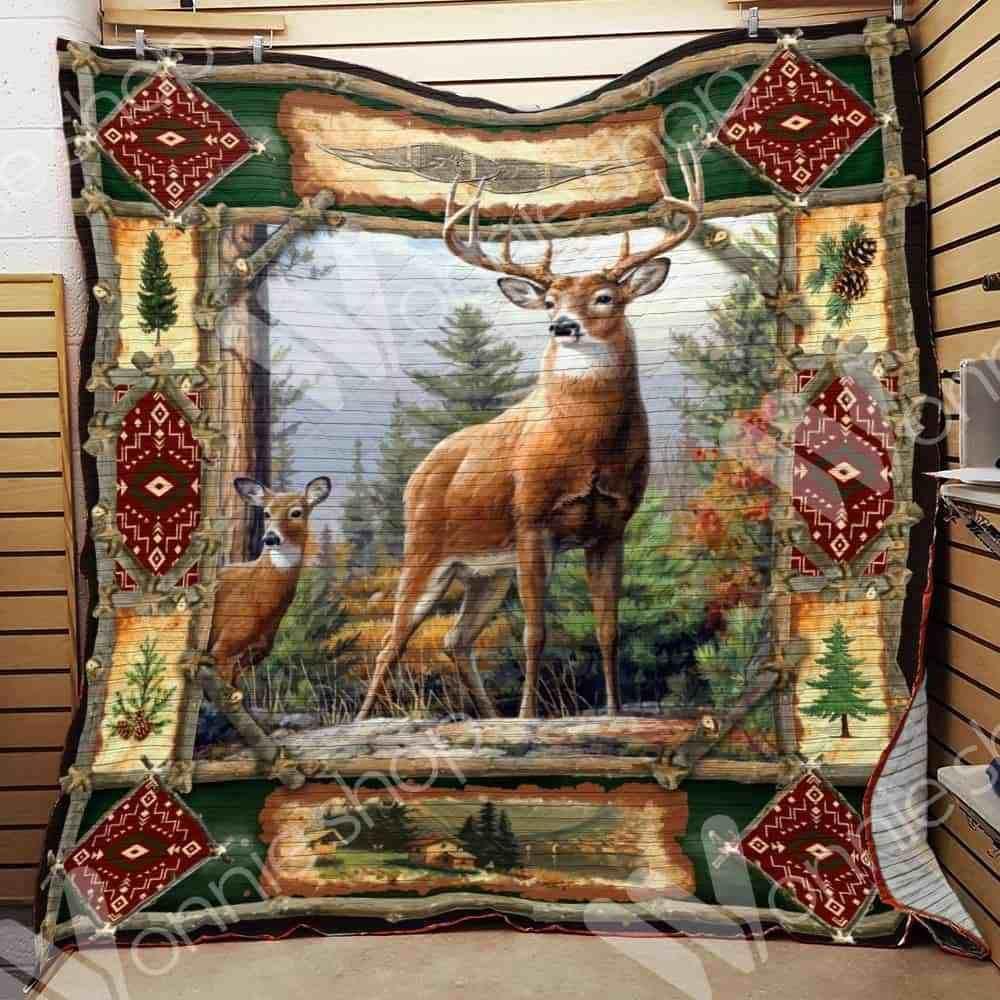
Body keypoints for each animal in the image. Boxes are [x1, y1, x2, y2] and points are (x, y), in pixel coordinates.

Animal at [355, 146, 704, 722]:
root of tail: (420, 472)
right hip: (425, 548)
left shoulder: (611, 525)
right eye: (549, 301)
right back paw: (366, 722)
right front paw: (527, 718)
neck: (588, 448)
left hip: (485, 571)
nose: (562, 325)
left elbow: (609, 629)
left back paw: (486, 717)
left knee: (454, 639)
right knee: (394, 638)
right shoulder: (531, 519)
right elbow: (534, 632)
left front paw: (613, 712)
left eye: (605, 297)